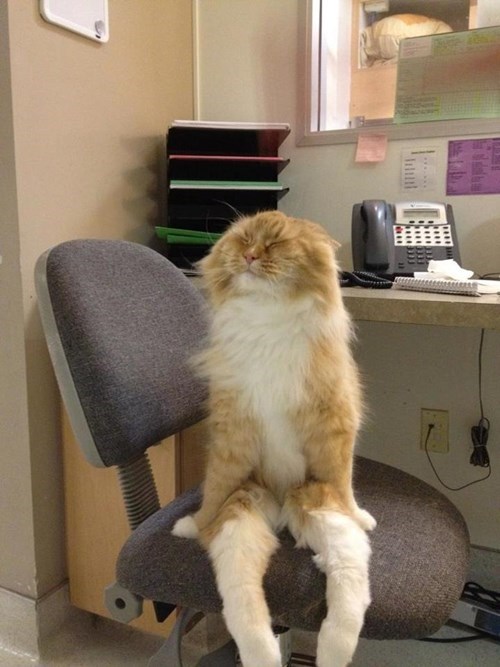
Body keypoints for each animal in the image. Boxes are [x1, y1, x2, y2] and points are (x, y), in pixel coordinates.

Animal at [174, 211, 376, 667]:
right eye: (245, 239)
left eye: (277, 244)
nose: (251, 256)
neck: (266, 322)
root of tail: (285, 504)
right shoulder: (231, 435)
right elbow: (212, 492)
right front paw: (196, 524)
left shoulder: (334, 431)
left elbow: (347, 482)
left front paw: (362, 512)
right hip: (242, 514)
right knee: (246, 609)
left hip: (319, 505)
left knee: (347, 588)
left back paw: (331, 651)